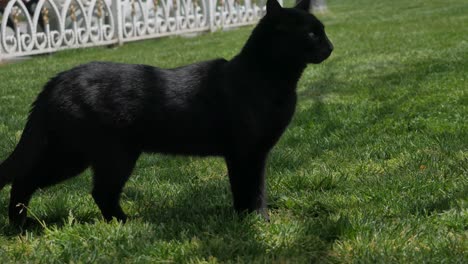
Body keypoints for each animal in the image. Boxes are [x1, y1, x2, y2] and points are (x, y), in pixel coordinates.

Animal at [0, 0, 332, 227]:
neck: (270, 80)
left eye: (323, 32)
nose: (330, 46)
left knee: (91, 191)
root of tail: (57, 80)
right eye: (311, 35)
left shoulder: (249, 153)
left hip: (97, 155)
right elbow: (252, 188)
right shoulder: (246, 151)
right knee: (34, 181)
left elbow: (246, 189)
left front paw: (244, 218)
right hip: (83, 155)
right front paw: (258, 220)